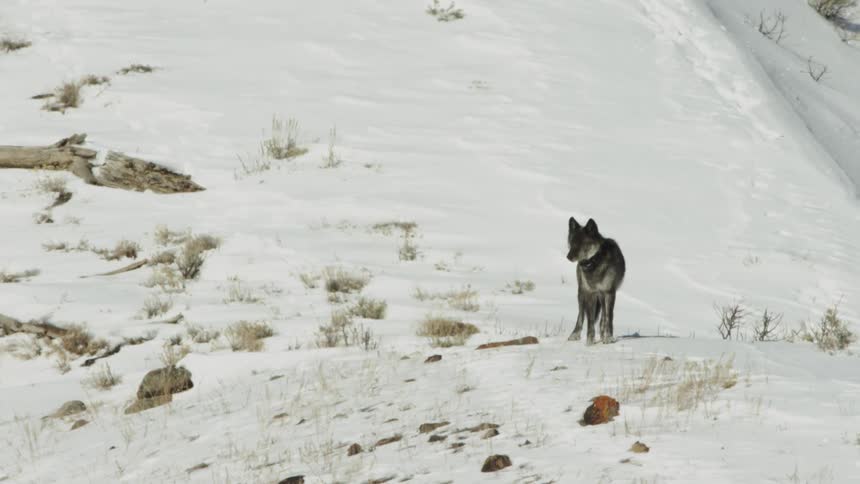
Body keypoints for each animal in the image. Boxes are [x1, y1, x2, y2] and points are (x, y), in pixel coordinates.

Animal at [566, 216, 625, 344]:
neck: (594, 262)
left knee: (604, 316)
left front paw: (608, 338)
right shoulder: (590, 294)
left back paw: (603, 335)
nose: (568, 257)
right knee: (581, 315)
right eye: (571, 243)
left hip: (602, 296)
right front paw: (590, 341)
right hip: (581, 293)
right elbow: (590, 320)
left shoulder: (609, 293)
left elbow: (609, 317)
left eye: (582, 243)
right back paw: (574, 334)